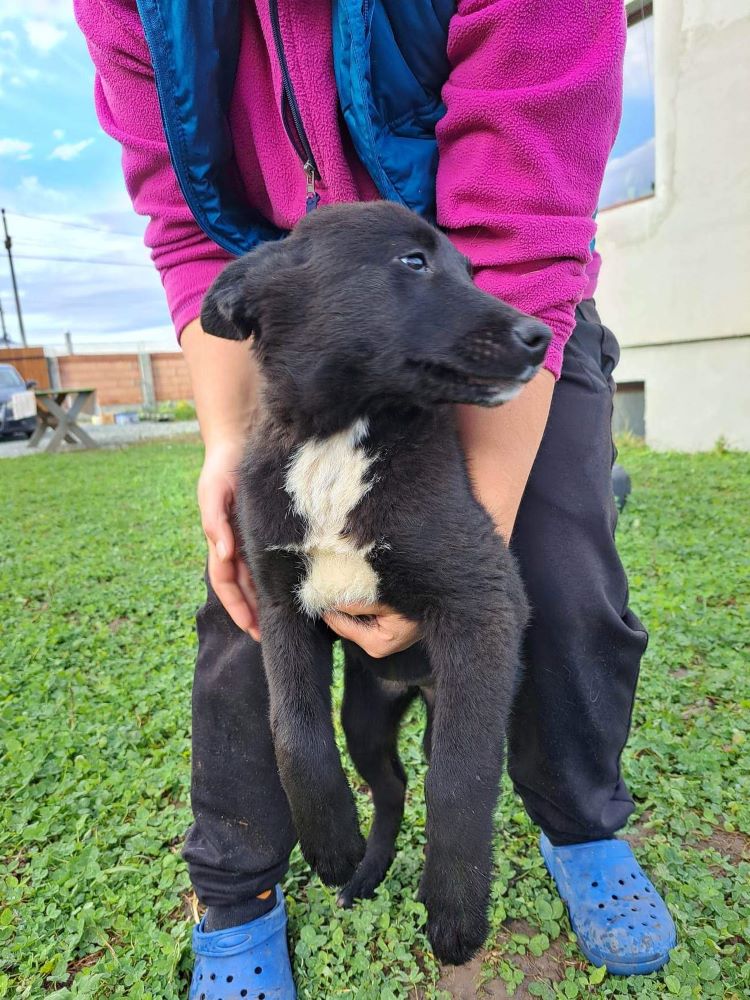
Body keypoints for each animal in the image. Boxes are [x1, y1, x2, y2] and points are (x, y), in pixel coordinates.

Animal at [200, 201, 552, 960]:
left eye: (471, 271)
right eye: (413, 262)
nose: (539, 336)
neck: (339, 437)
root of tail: (412, 687)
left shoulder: (484, 604)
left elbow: (461, 778)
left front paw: (454, 911)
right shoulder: (280, 605)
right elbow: (291, 729)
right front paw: (330, 840)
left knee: (423, 775)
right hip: (364, 713)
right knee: (389, 789)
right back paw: (365, 869)